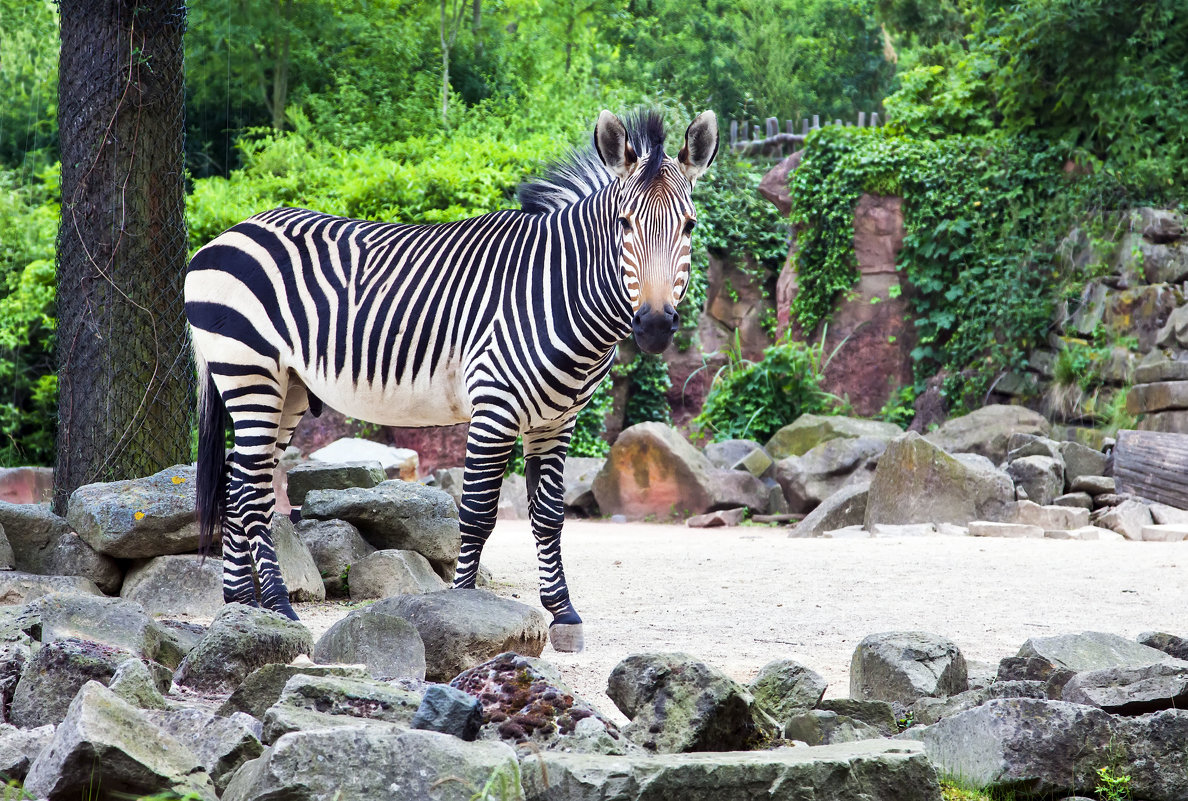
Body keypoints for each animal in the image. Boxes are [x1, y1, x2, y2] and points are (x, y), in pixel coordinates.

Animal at [185, 109, 717, 646]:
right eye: (624, 224)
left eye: (690, 225)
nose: (654, 325)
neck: (555, 289)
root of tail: (230, 232)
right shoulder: (496, 407)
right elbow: (478, 514)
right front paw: (466, 607)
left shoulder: (557, 419)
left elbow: (549, 516)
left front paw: (563, 614)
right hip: (250, 372)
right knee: (251, 492)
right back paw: (279, 609)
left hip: (287, 387)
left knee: (236, 482)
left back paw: (242, 607)